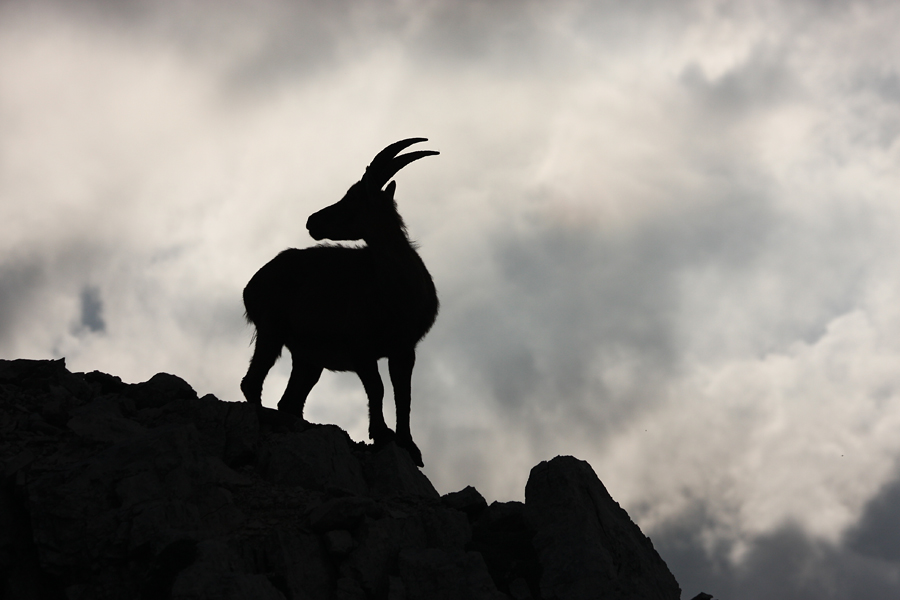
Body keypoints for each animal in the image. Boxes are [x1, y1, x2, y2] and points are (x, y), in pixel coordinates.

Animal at [241, 138, 439, 467]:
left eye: (351, 199)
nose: (312, 221)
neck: (392, 290)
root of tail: (251, 285)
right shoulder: (361, 348)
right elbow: (377, 389)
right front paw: (381, 435)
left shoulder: (403, 348)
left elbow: (403, 395)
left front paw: (410, 447)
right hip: (272, 330)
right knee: (252, 382)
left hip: (308, 357)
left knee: (289, 399)